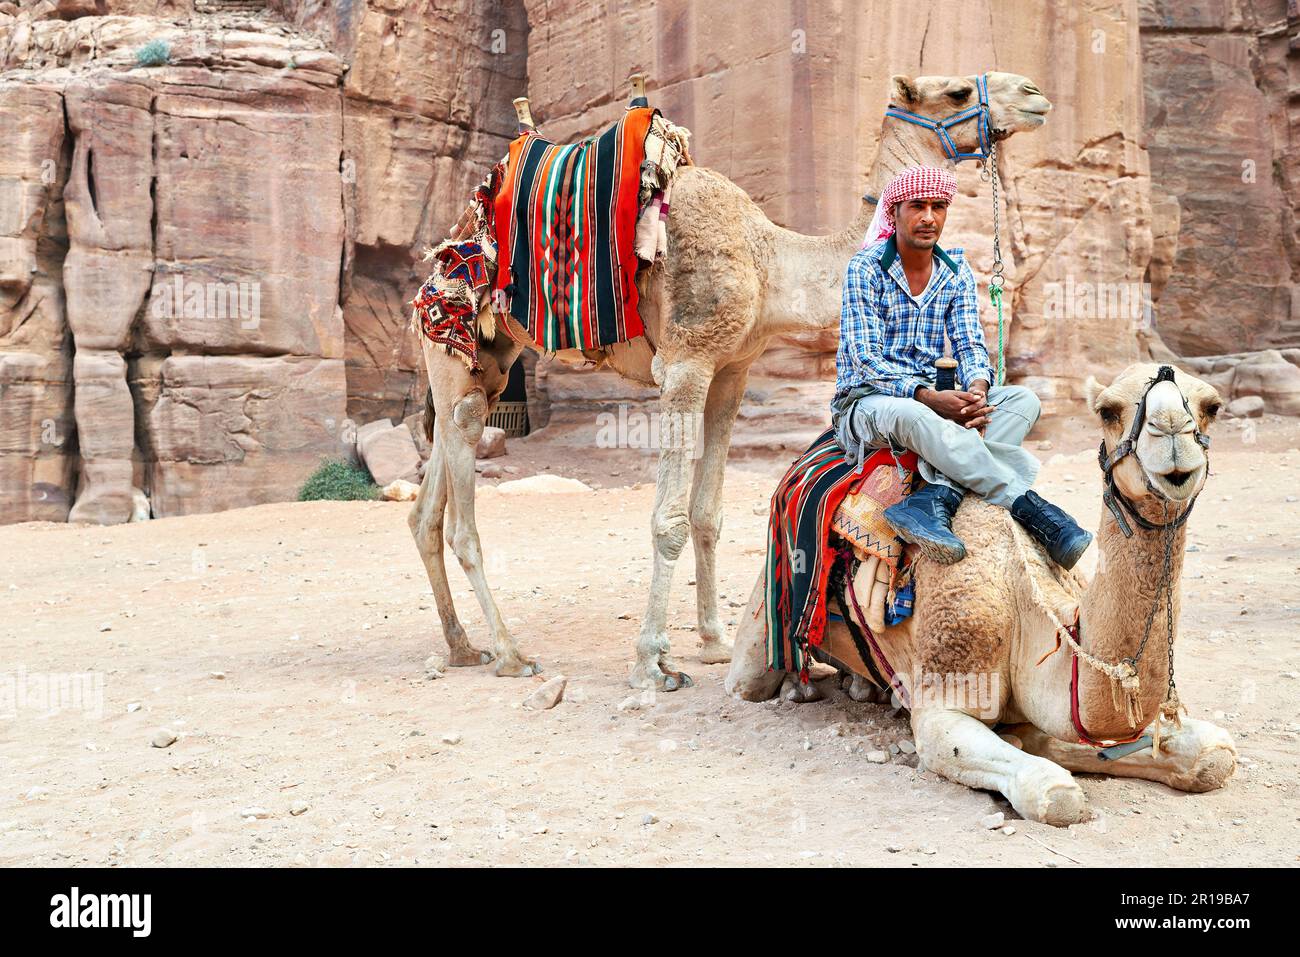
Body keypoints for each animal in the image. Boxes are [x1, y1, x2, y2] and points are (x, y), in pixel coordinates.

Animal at [410, 72, 1050, 686]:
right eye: (957, 92)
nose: (1035, 95)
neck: (769, 261)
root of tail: (444, 252)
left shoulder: (733, 370)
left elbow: (707, 513)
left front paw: (714, 642)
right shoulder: (686, 363)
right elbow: (668, 520)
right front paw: (651, 663)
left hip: (489, 360)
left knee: (429, 501)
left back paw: (461, 646)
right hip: (451, 345)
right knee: (461, 504)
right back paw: (510, 653)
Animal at [728, 361, 1232, 826]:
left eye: (1211, 406)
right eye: (1107, 411)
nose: (1172, 432)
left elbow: (1215, 754)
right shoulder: (949, 685)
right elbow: (1054, 793)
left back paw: (863, 686)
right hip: (766, 603)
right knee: (750, 677)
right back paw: (797, 686)